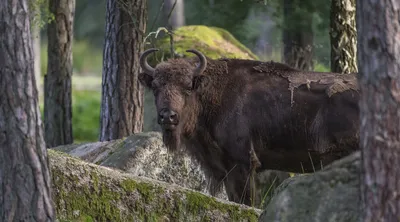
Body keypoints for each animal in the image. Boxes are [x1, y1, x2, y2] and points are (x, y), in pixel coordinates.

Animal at [138, 49, 360, 206]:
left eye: (188, 86)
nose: (168, 116)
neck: (213, 93)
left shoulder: (242, 164)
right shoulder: (225, 169)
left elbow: (247, 202)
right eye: (155, 87)